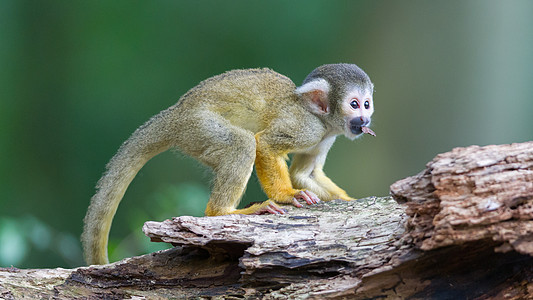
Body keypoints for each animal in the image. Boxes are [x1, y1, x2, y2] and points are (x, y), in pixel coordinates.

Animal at [83, 63, 374, 264]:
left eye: (367, 104)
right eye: (354, 104)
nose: (366, 120)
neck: (322, 120)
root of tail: (175, 116)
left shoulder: (325, 137)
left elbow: (304, 174)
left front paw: (347, 201)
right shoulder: (306, 127)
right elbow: (264, 144)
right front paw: (287, 195)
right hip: (200, 127)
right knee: (243, 144)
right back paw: (223, 212)